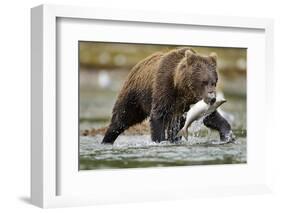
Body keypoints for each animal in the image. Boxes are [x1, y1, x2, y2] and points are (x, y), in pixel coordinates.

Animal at [101, 47, 233, 144]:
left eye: (214, 82)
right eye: (204, 82)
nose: (212, 98)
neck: (182, 89)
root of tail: (137, 65)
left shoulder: (192, 103)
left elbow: (211, 117)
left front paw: (228, 136)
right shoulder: (164, 88)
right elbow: (158, 116)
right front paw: (159, 141)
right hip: (134, 96)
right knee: (121, 118)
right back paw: (107, 140)